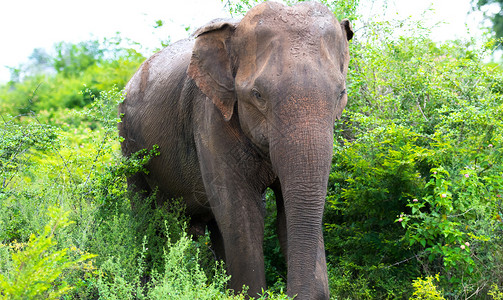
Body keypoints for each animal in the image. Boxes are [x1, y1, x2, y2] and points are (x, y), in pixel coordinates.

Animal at [119, 1, 352, 298]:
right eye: (258, 95)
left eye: (341, 94)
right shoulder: (210, 116)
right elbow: (241, 212)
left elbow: (287, 212)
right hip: (129, 146)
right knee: (147, 220)